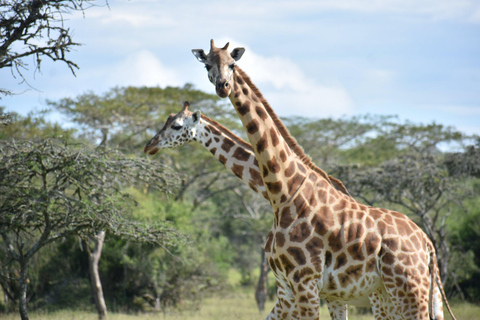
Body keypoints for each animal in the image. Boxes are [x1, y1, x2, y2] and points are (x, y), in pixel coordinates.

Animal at [190, 40, 454, 320]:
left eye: (232, 64)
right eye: (207, 65)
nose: (223, 87)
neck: (285, 192)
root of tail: (427, 243)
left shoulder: (306, 282)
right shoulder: (297, 287)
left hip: (407, 290)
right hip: (399, 293)